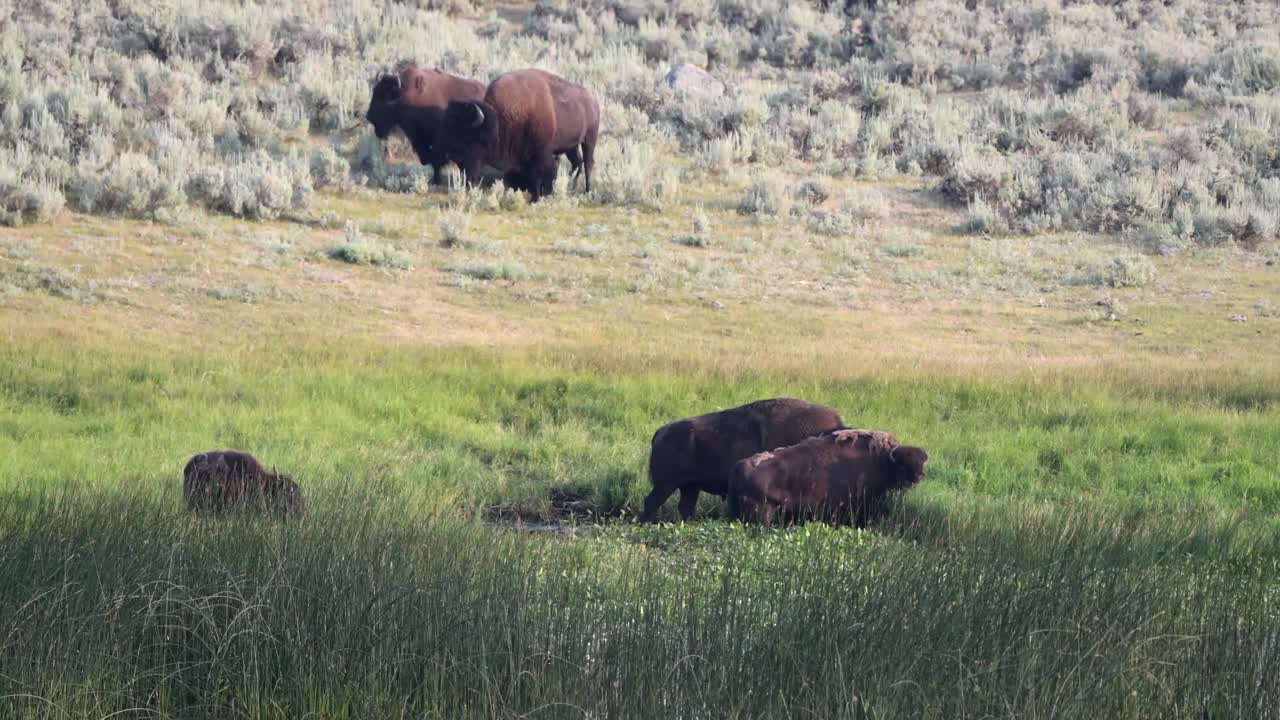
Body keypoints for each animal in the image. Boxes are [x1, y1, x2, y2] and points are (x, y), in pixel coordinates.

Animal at [440, 68, 599, 199]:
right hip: (571, 146)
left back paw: (587, 191)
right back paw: (572, 187)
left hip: (589, 139)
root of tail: (592, 100)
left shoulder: (541, 153)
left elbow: (539, 174)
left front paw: (537, 198)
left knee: (588, 163)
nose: (452, 156)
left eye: (470, 138)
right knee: (577, 162)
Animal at [727, 425, 926, 527]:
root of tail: (739, 466)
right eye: (904, 464)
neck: (883, 459)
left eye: (921, 462)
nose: (918, 477)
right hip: (763, 513)